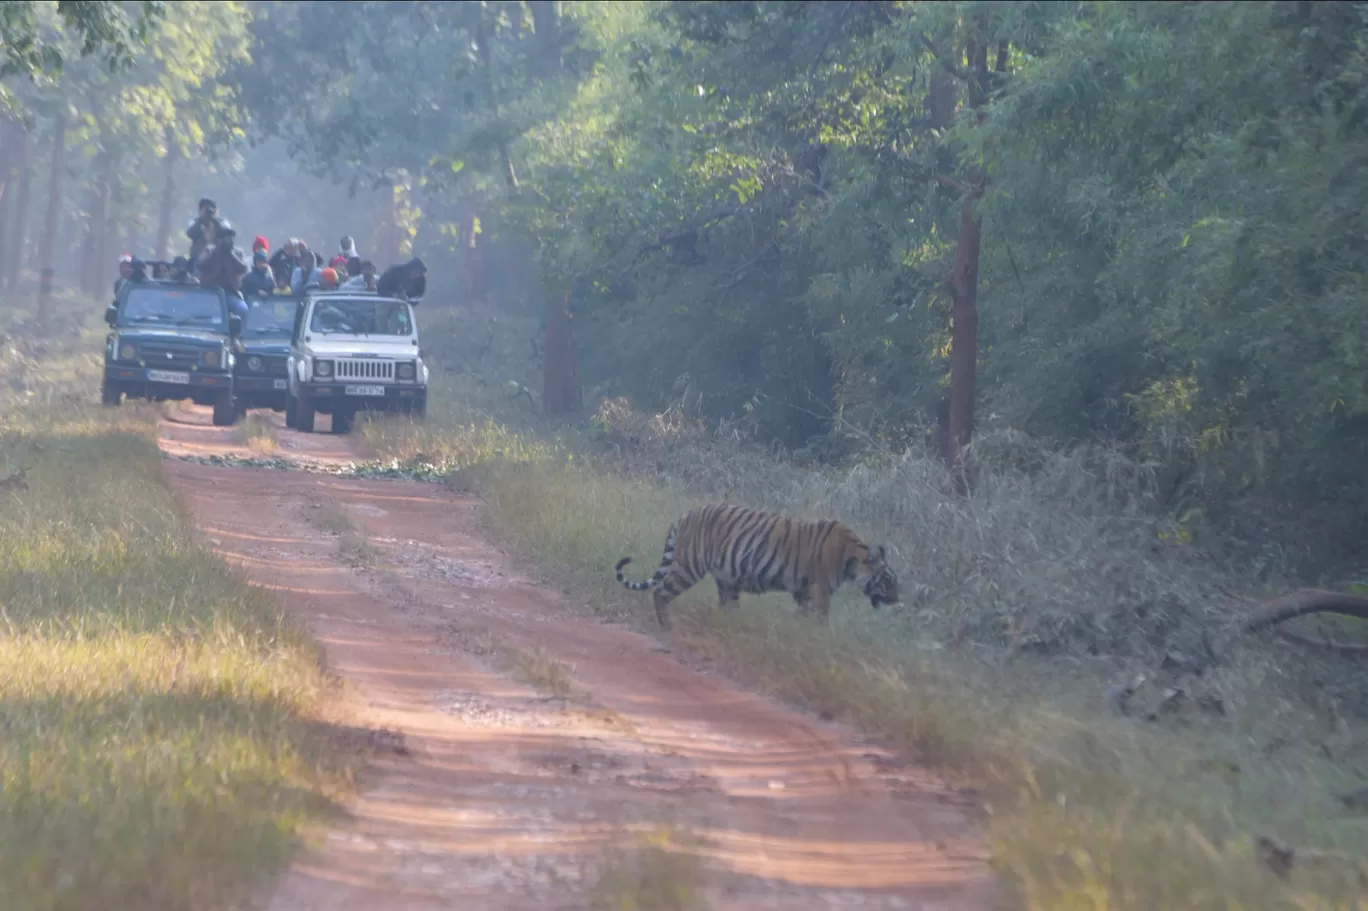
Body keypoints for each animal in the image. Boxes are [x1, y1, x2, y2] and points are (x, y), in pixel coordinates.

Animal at [618, 500, 897, 629]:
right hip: (689, 566)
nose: (897, 599)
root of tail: (685, 515)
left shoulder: (803, 592)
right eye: (888, 580)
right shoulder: (819, 592)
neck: (852, 557)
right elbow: (821, 621)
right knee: (660, 591)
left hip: (727, 581)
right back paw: (668, 626)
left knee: (727, 608)